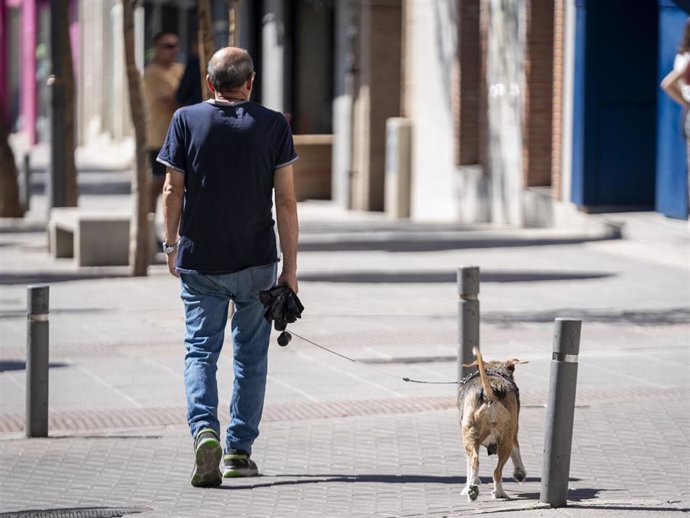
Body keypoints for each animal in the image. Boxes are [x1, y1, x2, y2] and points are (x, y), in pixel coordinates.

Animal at [456, 348, 528, 502]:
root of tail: (491, 392)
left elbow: (469, 465)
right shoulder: (514, 431)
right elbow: (516, 450)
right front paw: (520, 473)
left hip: (470, 433)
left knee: (475, 461)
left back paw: (473, 488)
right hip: (506, 436)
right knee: (497, 471)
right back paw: (498, 492)